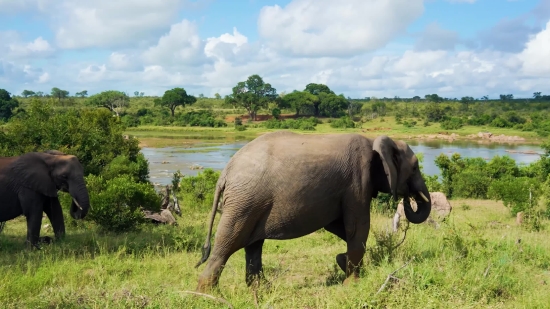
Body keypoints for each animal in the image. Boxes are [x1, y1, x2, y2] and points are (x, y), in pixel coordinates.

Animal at [196, 132, 434, 292]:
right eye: (415, 168)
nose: (408, 198)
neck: (373, 140)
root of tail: (225, 173)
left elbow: (339, 227)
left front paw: (342, 261)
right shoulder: (357, 182)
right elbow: (357, 227)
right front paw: (352, 284)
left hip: (251, 202)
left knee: (253, 246)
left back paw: (262, 290)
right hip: (244, 202)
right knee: (226, 245)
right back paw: (209, 296)